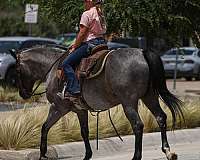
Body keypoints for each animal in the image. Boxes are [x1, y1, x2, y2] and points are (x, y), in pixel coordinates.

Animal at [12, 45, 184, 160]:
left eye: (18, 70)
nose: (23, 93)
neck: (54, 69)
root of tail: (142, 53)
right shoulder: (80, 110)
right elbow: (84, 132)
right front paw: (87, 155)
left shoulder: (59, 107)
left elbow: (44, 127)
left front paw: (42, 154)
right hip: (149, 97)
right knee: (161, 117)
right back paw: (168, 151)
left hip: (128, 102)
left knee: (138, 125)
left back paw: (136, 156)